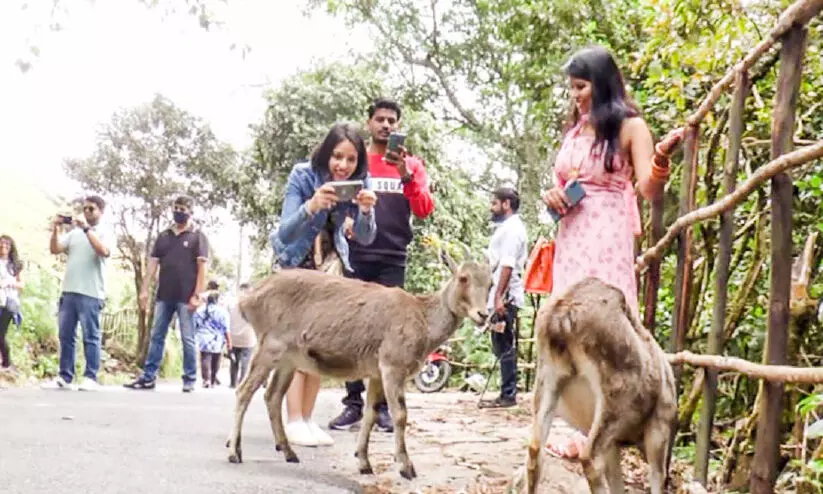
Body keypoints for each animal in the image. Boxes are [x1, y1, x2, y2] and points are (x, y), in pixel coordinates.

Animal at [225, 251, 492, 478]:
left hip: (288, 359)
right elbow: (400, 414)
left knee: (272, 395)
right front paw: (406, 466)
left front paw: (364, 462)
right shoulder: (392, 364)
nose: (484, 315)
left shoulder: (375, 372)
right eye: (463, 278)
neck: (423, 321)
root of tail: (247, 300)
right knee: (244, 390)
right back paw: (234, 452)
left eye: (490, 284)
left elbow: (371, 413)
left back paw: (289, 452)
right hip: (269, 345)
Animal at [528, 278, 676, 494]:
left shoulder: (613, 444)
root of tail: (561, 316)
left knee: (535, 448)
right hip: (618, 394)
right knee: (589, 456)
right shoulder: (660, 424)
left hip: (547, 375)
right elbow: (658, 476)